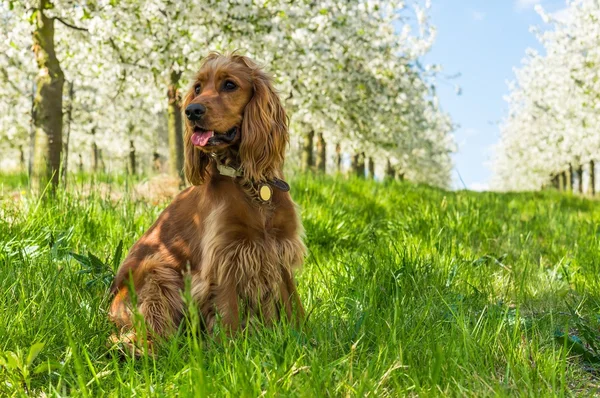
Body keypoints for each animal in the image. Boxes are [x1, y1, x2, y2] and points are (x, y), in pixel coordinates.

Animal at [108, 53, 304, 354]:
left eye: (230, 84)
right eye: (198, 88)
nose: (191, 111)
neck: (249, 182)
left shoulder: (279, 249)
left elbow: (293, 303)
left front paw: (305, 338)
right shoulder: (224, 255)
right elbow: (229, 312)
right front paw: (232, 351)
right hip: (158, 271)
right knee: (148, 332)